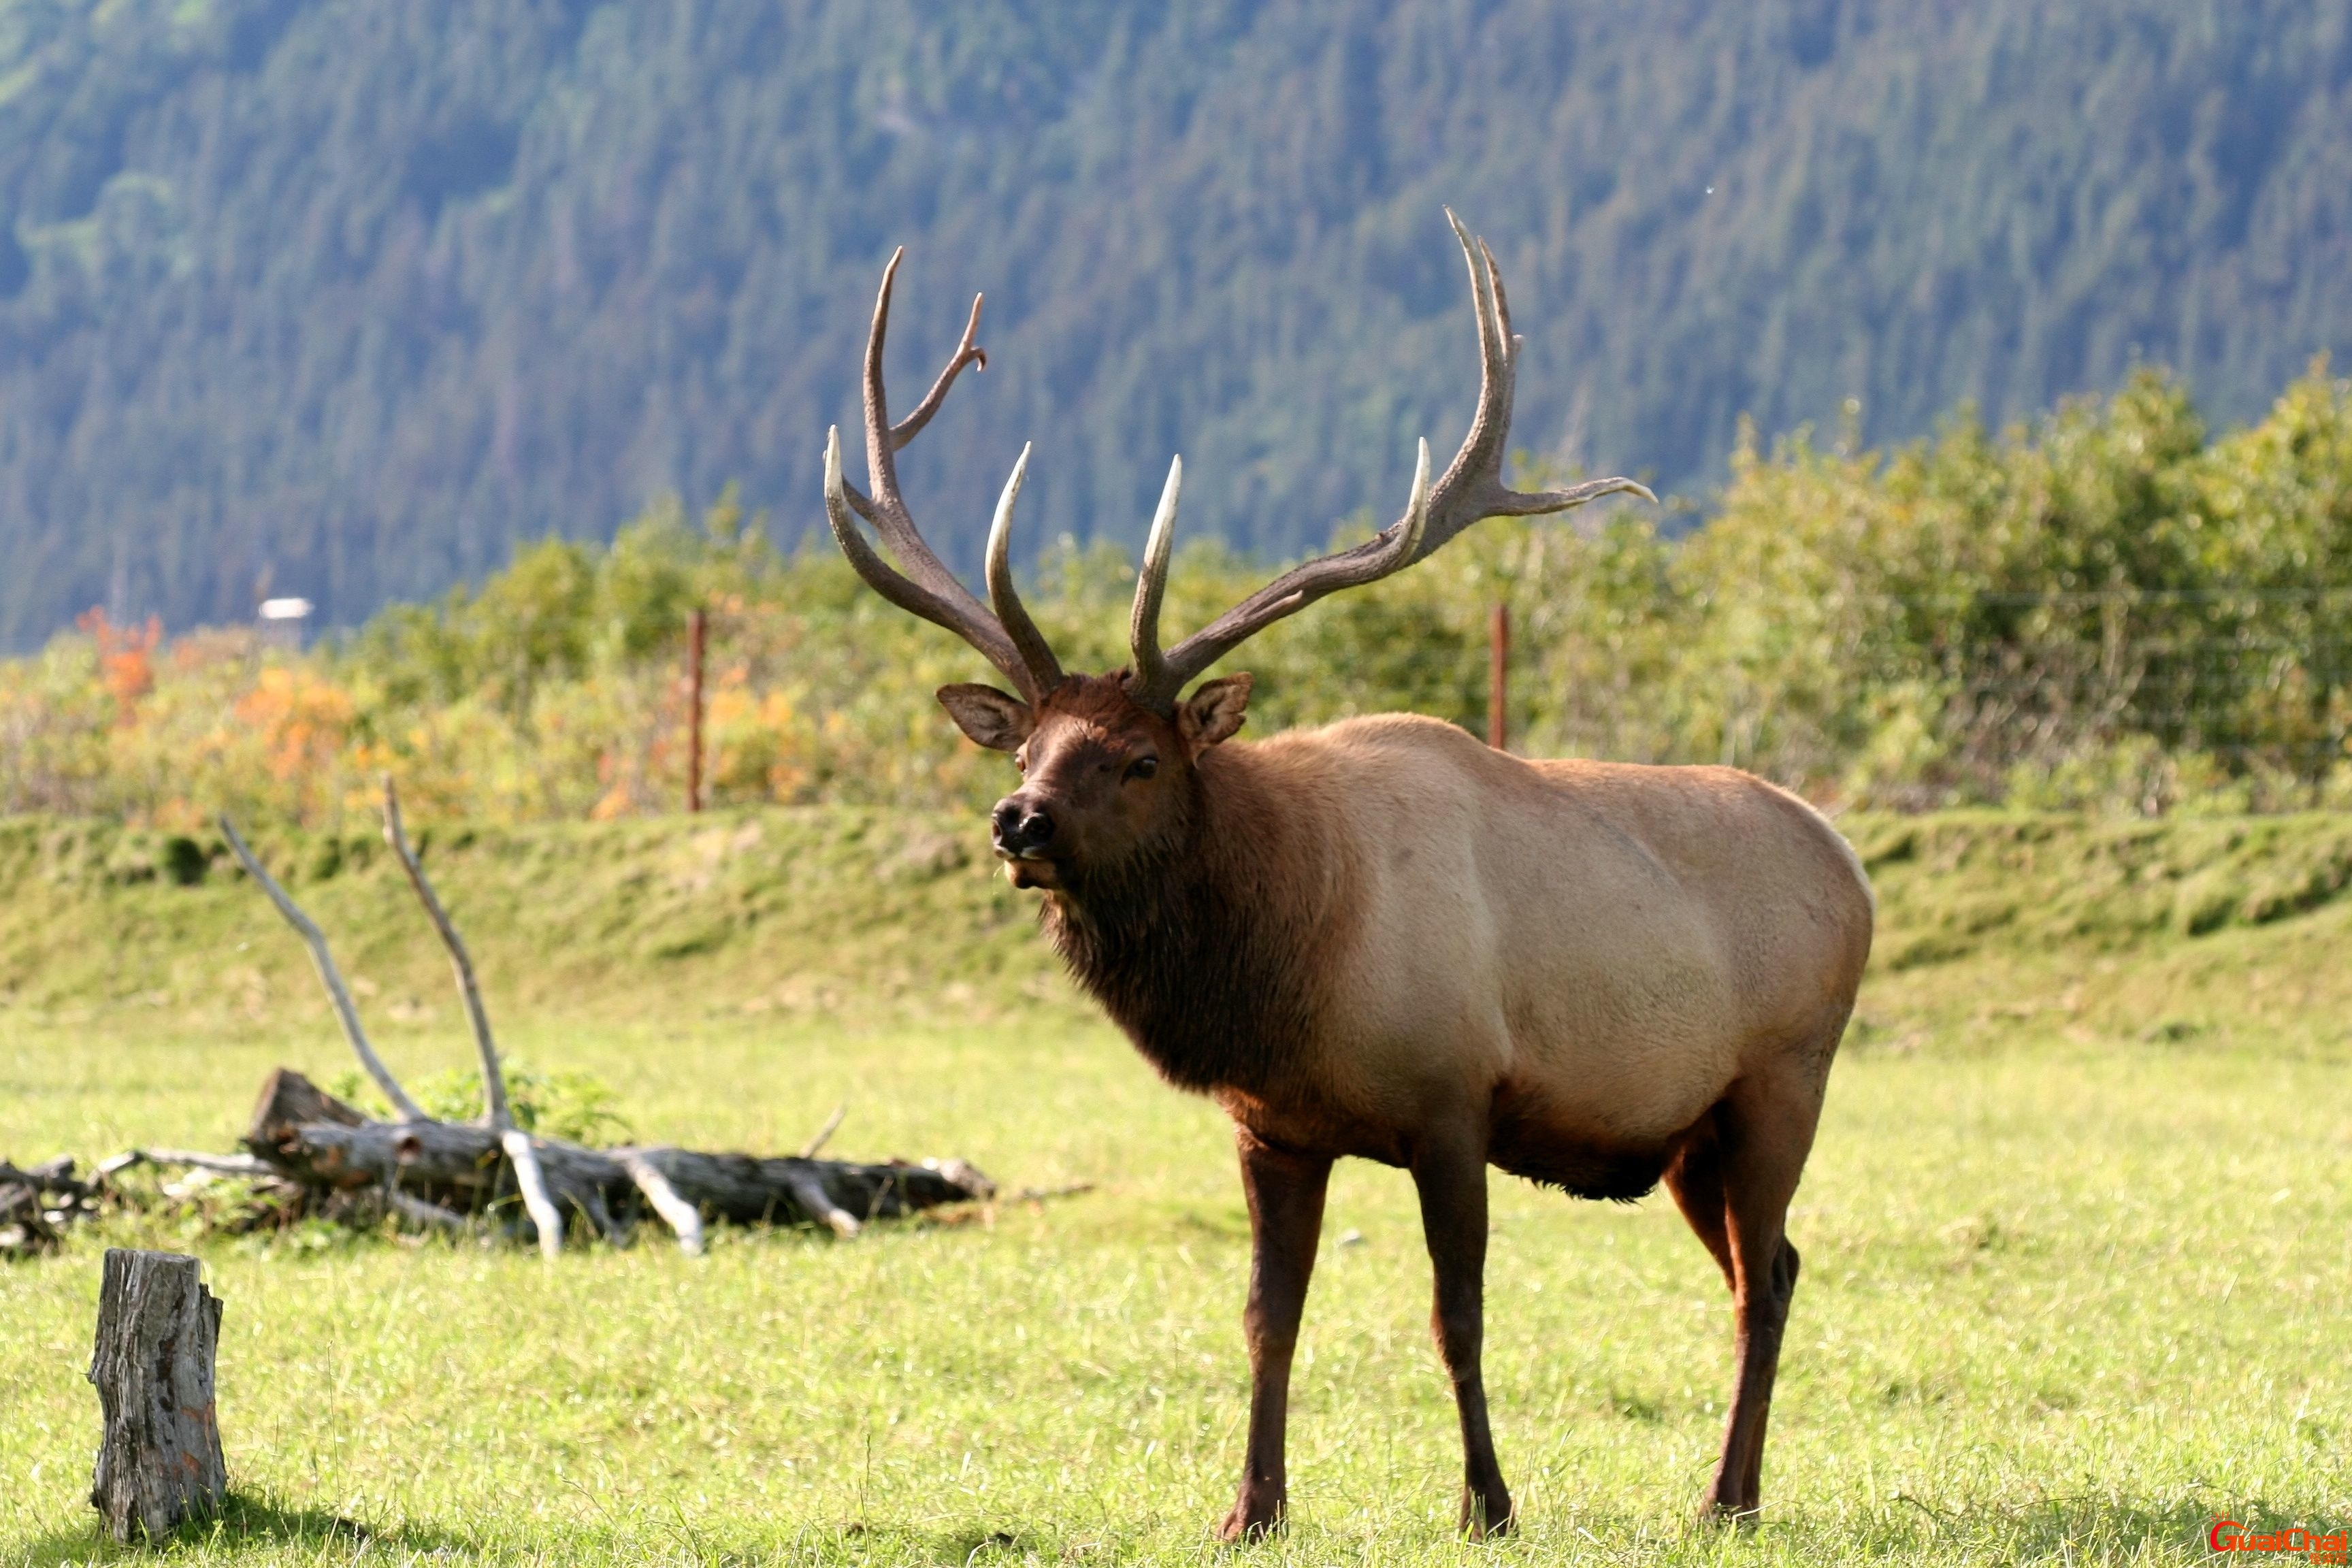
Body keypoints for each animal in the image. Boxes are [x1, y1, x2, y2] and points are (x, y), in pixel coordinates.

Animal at [828, 215, 1872, 1542]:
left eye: (1139, 757)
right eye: (1026, 747)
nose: (1018, 821)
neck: (1289, 962)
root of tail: (1849, 859)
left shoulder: (1453, 1101)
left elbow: (1456, 1317)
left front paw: (1488, 1503)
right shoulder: (1272, 1127)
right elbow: (1267, 1319)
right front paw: (1250, 1508)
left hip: (1785, 1077)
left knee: (1766, 1276)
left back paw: (1724, 1496)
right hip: (1690, 1133)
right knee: (1770, 1261)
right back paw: (1733, 1488)